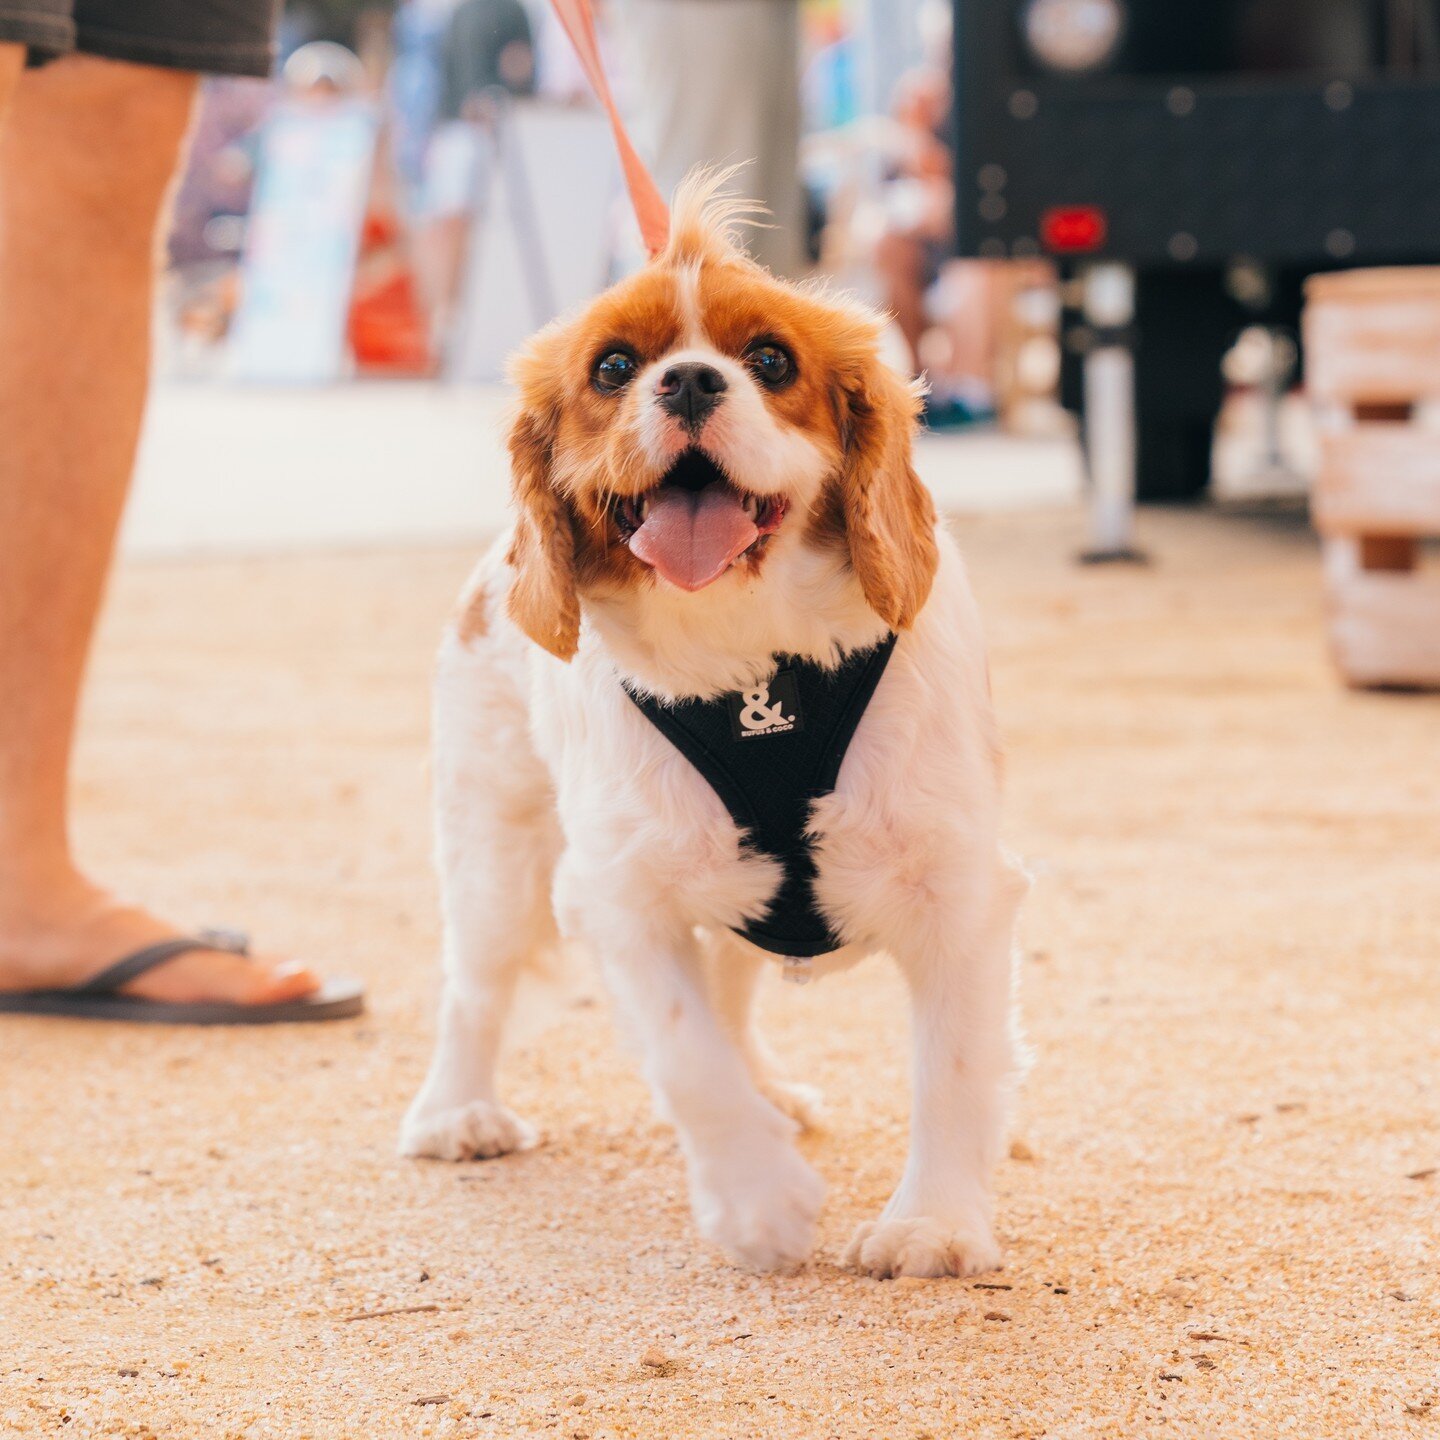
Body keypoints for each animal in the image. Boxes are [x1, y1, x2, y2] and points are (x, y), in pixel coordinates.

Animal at [397, 174, 1025, 1278]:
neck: (753, 667)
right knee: (475, 987)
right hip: (495, 856)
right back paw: (456, 1113)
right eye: (613, 367)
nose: (689, 382)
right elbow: (686, 1052)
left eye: (770, 360)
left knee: (732, 983)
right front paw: (757, 1199)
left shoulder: (958, 889)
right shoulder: (619, 894)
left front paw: (932, 1224)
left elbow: (949, 1068)